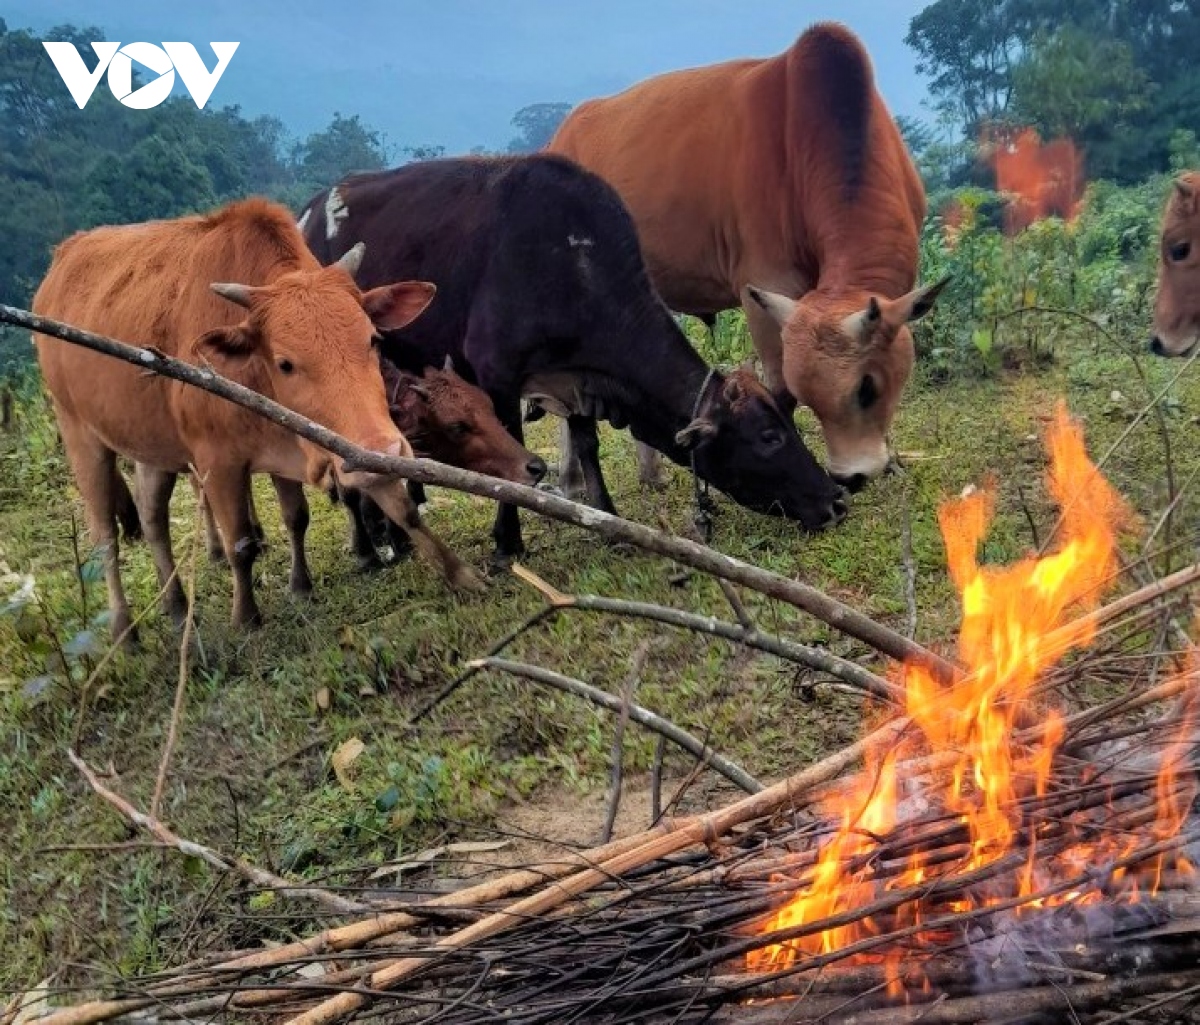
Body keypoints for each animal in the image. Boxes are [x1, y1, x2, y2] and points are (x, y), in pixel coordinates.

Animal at [34, 198, 482, 648]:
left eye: (372, 339)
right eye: (285, 363)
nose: (385, 448)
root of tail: (60, 260)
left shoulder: (332, 444)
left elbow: (329, 513)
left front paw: (458, 573)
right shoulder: (219, 463)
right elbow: (240, 544)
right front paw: (245, 617)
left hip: (150, 446)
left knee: (152, 517)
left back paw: (177, 608)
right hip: (80, 435)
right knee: (104, 539)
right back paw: (124, 631)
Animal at [297, 156, 844, 566]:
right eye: (769, 437)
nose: (836, 499)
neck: (573, 264)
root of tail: (307, 210)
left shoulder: (579, 382)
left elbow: (587, 447)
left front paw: (610, 522)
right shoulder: (496, 379)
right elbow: (511, 461)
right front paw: (507, 544)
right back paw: (369, 546)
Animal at [549, 19, 950, 494]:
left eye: (867, 388)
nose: (850, 476)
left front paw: (893, 461)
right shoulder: (763, 284)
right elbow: (779, 390)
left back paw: (648, 473)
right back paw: (572, 479)